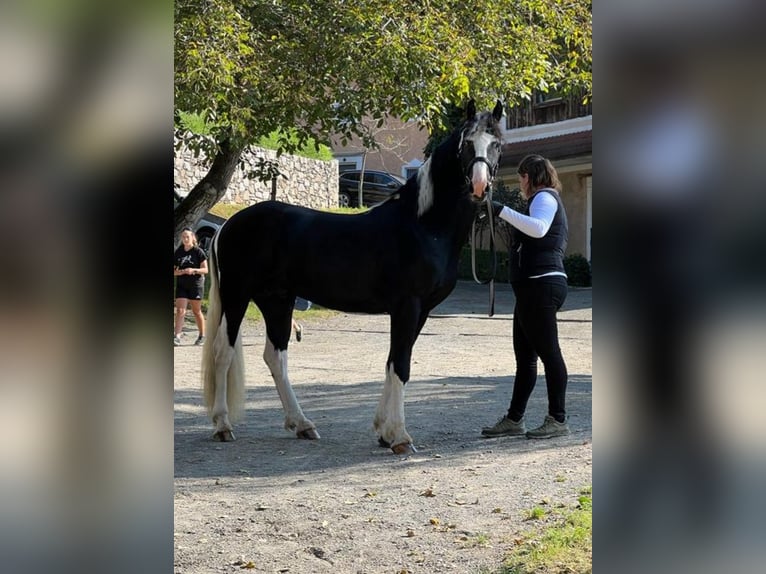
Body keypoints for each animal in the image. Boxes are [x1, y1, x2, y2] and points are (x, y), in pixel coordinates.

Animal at [201, 101, 508, 456]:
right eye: (466, 144)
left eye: (497, 143)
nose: (479, 187)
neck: (422, 226)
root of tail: (227, 225)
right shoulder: (408, 307)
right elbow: (401, 364)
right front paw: (400, 436)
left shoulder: (420, 312)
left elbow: (393, 360)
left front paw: (383, 431)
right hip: (237, 295)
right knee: (223, 352)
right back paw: (222, 425)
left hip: (277, 300)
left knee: (275, 356)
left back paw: (302, 424)